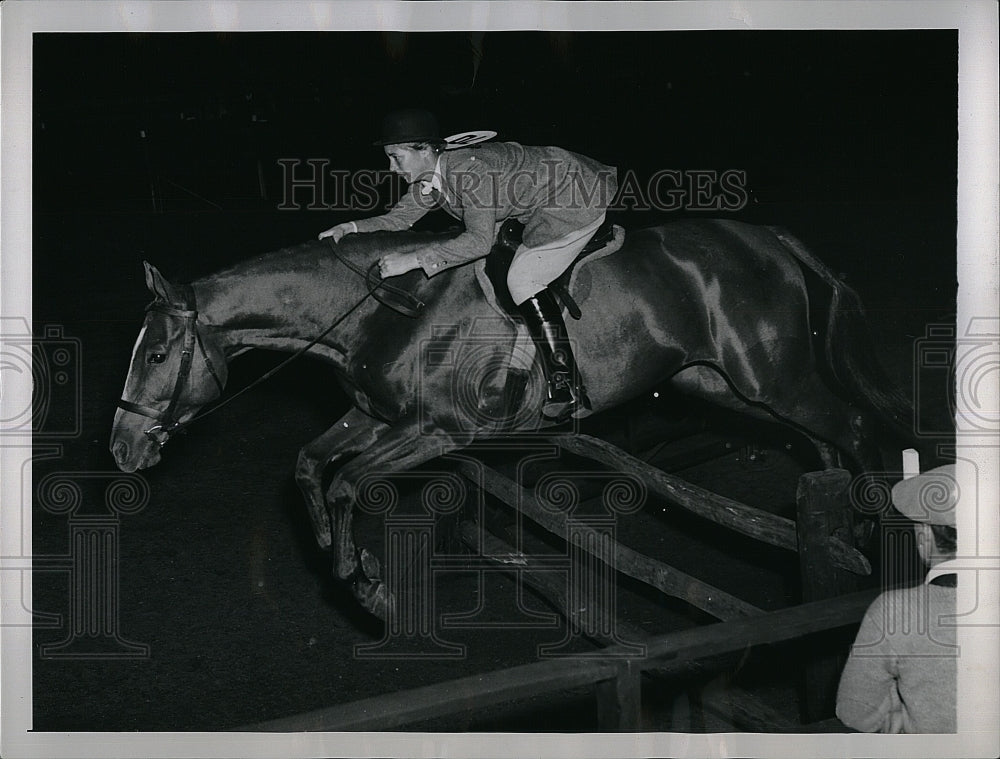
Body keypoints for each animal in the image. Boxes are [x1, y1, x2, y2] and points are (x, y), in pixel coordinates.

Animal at [109, 218, 916, 616]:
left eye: (157, 354)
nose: (121, 448)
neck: (380, 307)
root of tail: (772, 241)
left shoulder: (438, 431)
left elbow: (345, 483)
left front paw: (366, 582)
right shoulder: (377, 414)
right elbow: (308, 466)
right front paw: (343, 562)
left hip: (772, 375)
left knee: (853, 430)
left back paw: (868, 541)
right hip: (724, 384)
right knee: (819, 443)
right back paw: (831, 532)